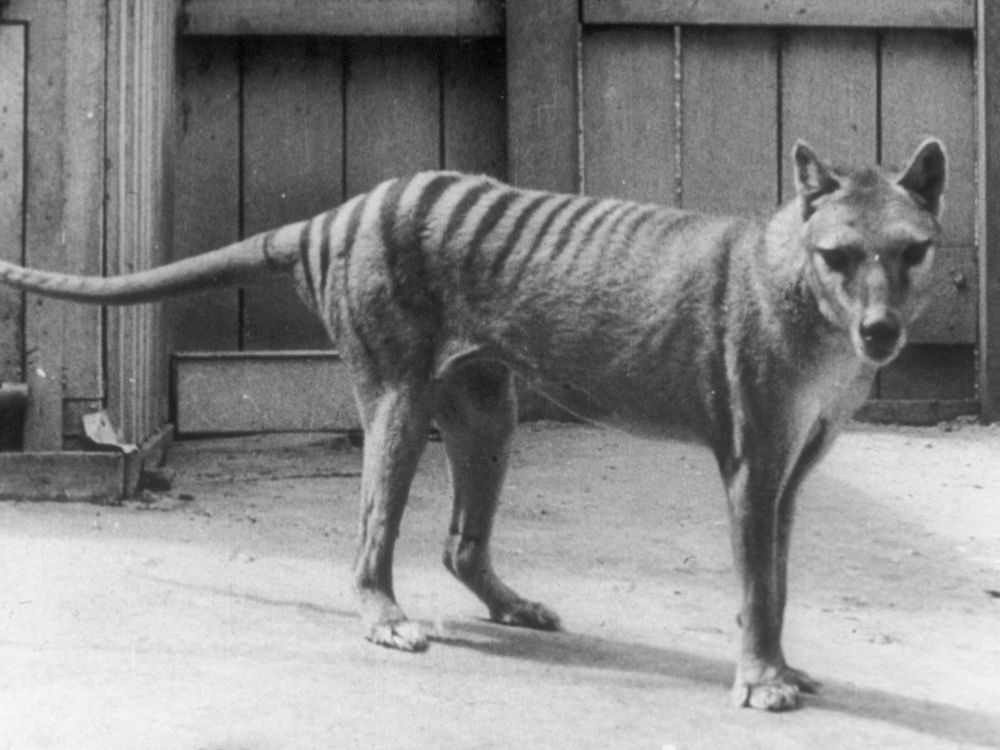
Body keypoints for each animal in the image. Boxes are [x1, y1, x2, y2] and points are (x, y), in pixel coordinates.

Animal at [0, 140, 944, 712]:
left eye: (913, 250)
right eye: (838, 256)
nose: (881, 333)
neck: (797, 287)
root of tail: (335, 216)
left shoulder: (789, 474)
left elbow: (777, 585)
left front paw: (780, 667)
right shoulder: (750, 465)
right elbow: (754, 589)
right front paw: (758, 681)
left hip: (488, 410)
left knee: (460, 543)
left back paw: (511, 605)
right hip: (397, 401)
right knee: (371, 536)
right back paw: (384, 615)